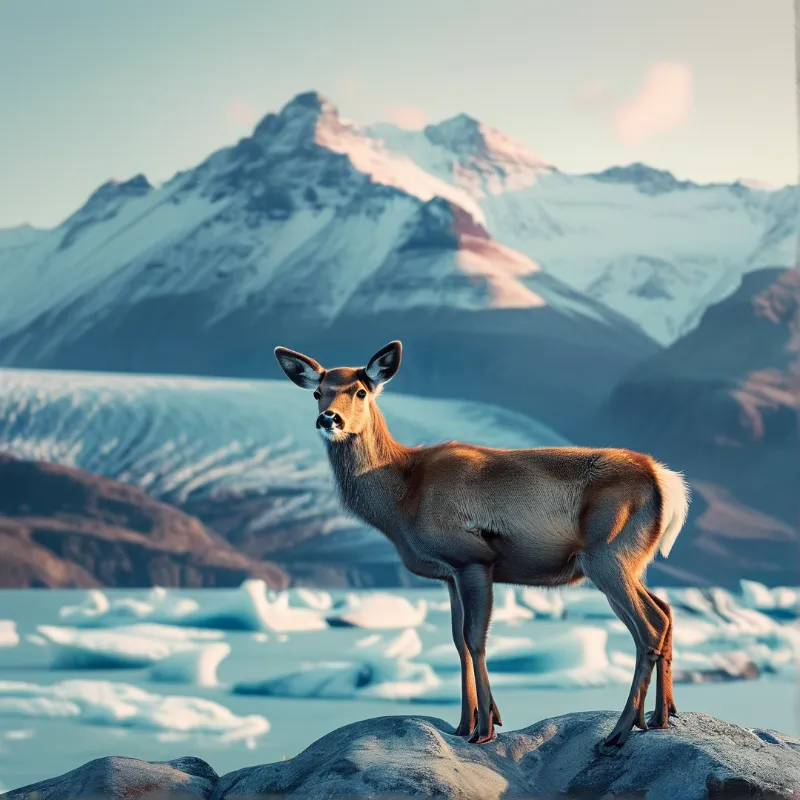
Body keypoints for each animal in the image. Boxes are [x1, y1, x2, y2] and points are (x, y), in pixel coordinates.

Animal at [274, 340, 690, 747]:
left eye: (360, 391)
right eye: (317, 392)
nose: (329, 419)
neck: (402, 498)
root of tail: (666, 481)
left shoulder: (472, 558)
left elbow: (475, 639)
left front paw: (486, 728)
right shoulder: (449, 575)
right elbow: (457, 641)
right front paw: (463, 724)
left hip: (608, 554)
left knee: (650, 625)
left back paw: (619, 731)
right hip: (629, 561)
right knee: (666, 611)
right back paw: (659, 717)